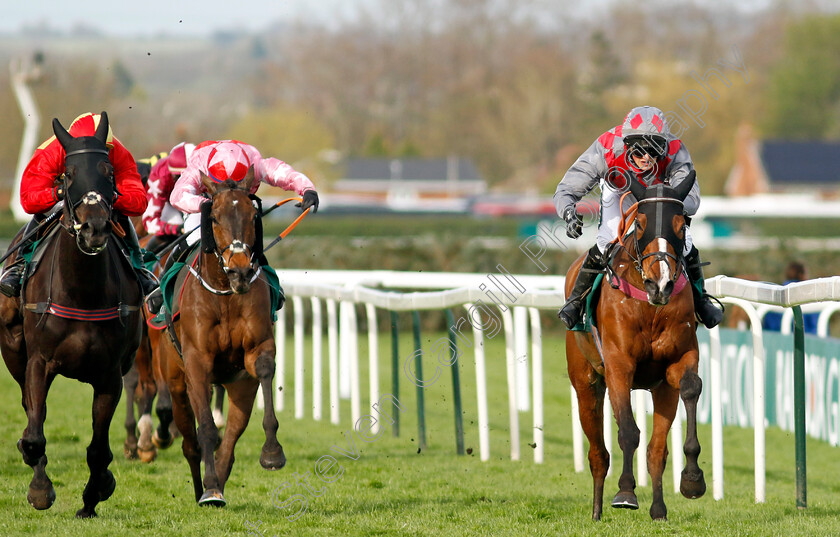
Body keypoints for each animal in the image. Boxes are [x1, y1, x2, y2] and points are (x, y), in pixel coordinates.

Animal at [0, 112, 144, 516]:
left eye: (109, 172)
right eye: (67, 173)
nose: (94, 227)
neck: (83, 292)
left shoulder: (110, 374)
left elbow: (99, 449)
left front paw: (94, 494)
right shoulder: (39, 362)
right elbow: (34, 433)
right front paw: (39, 490)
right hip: (13, 351)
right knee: (30, 411)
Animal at [158, 165, 286, 504]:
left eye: (252, 215)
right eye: (213, 217)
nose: (240, 270)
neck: (226, 295)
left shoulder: (256, 350)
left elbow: (264, 368)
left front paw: (272, 452)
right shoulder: (197, 361)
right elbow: (205, 429)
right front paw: (209, 486)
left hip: (239, 386)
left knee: (231, 436)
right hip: (175, 378)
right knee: (189, 439)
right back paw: (203, 486)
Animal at [564, 173, 708, 520]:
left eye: (681, 224)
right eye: (640, 223)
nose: (661, 284)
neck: (650, 308)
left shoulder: (680, 360)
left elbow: (691, 388)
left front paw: (692, 479)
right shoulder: (619, 366)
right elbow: (628, 431)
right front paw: (626, 492)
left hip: (661, 390)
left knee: (656, 451)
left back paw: (658, 508)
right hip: (586, 385)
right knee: (598, 454)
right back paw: (597, 511)